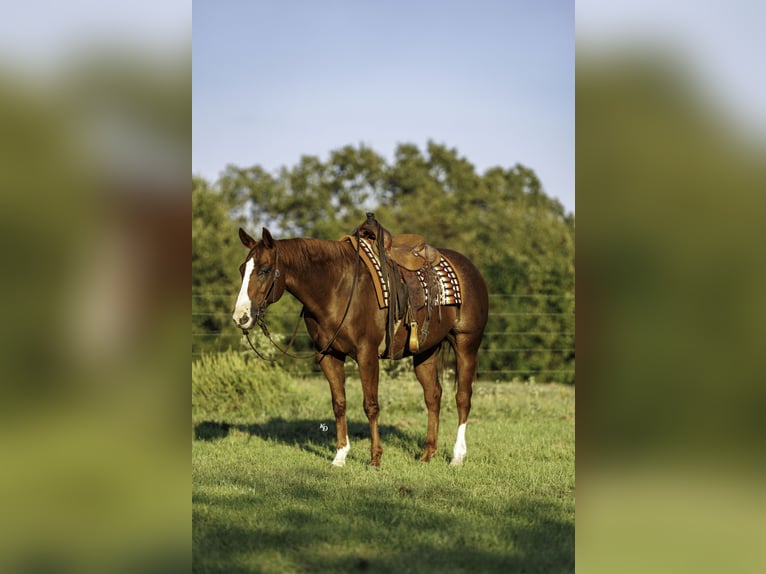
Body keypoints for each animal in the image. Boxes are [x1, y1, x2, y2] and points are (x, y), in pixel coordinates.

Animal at [232, 224, 488, 467]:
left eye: (264, 270)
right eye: (242, 269)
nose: (240, 317)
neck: (337, 289)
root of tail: (470, 268)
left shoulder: (367, 355)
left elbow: (370, 405)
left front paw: (375, 458)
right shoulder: (328, 355)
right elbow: (339, 404)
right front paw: (340, 456)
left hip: (466, 344)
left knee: (463, 397)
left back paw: (457, 456)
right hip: (425, 352)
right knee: (433, 396)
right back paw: (427, 454)